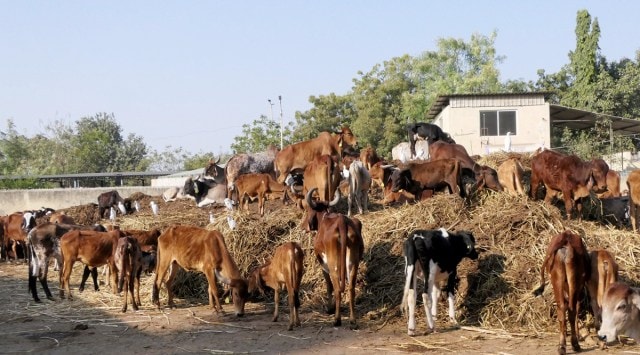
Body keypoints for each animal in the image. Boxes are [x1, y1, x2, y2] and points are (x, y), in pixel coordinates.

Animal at [302, 188, 362, 330]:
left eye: (308, 210)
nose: (304, 226)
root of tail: (342, 222)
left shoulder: (323, 264)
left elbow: (328, 285)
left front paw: (329, 308)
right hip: (352, 264)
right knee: (351, 288)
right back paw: (352, 320)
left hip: (333, 265)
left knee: (336, 287)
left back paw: (337, 319)